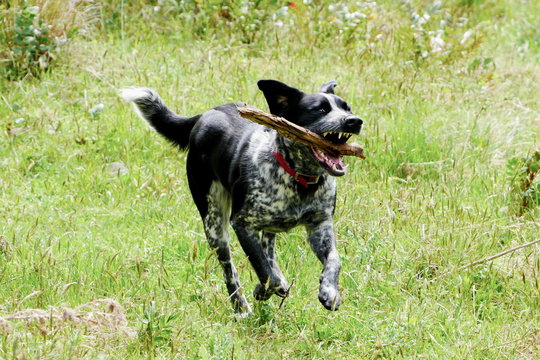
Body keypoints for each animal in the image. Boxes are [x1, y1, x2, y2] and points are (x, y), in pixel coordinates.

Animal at [119, 80, 362, 314]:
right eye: (320, 109)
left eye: (347, 108)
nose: (355, 121)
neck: (297, 178)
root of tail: (204, 115)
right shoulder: (242, 224)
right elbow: (264, 272)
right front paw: (262, 290)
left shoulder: (320, 225)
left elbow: (334, 260)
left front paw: (329, 291)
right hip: (214, 224)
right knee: (230, 269)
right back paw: (240, 308)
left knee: (268, 246)